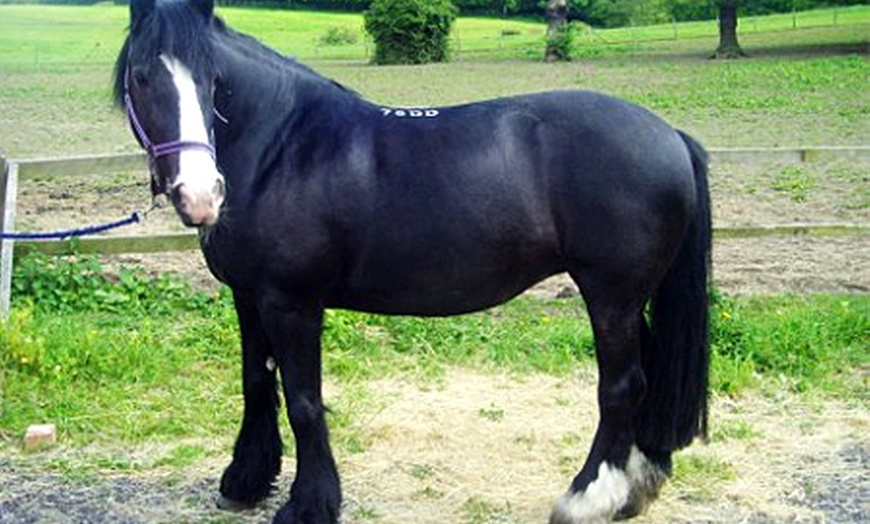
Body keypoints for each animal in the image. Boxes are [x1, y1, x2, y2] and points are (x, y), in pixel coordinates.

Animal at [114, 2, 716, 520]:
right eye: (141, 77)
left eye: (212, 81)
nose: (201, 195)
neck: (282, 148)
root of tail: (670, 135)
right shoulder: (248, 294)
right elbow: (256, 382)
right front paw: (244, 481)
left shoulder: (291, 303)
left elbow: (304, 399)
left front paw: (309, 505)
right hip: (629, 298)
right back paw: (636, 489)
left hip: (611, 296)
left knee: (621, 387)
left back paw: (588, 498)